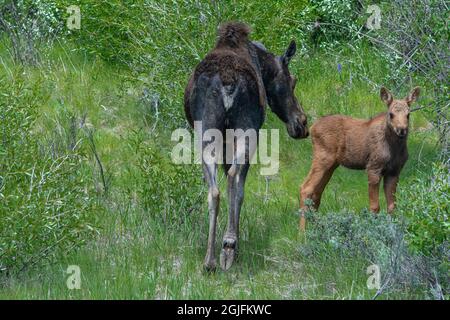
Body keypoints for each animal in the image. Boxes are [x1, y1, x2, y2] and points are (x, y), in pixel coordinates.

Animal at [184, 22, 310, 272]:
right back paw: (229, 244)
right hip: (246, 129)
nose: (302, 123)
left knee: (214, 190)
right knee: (235, 178)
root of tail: (227, 83)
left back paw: (210, 260)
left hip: (206, 133)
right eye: (292, 81)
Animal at [300, 85, 420, 230]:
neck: (394, 148)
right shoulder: (373, 167)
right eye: (391, 114)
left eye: (408, 114)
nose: (401, 130)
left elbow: (392, 207)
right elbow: (374, 207)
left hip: (331, 165)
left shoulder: (394, 171)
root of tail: (312, 128)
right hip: (323, 158)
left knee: (317, 193)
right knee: (305, 188)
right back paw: (302, 232)